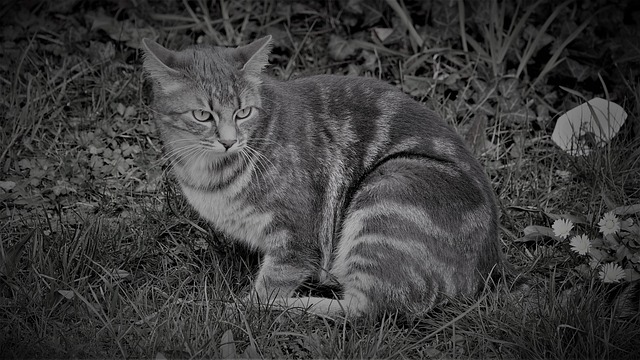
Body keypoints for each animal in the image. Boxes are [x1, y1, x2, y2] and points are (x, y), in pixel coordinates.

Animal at [141, 35, 504, 318]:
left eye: (243, 112)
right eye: (203, 115)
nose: (229, 141)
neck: (207, 174)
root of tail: (487, 270)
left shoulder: (297, 240)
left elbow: (271, 284)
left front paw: (237, 306)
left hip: (387, 191)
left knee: (367, 309)